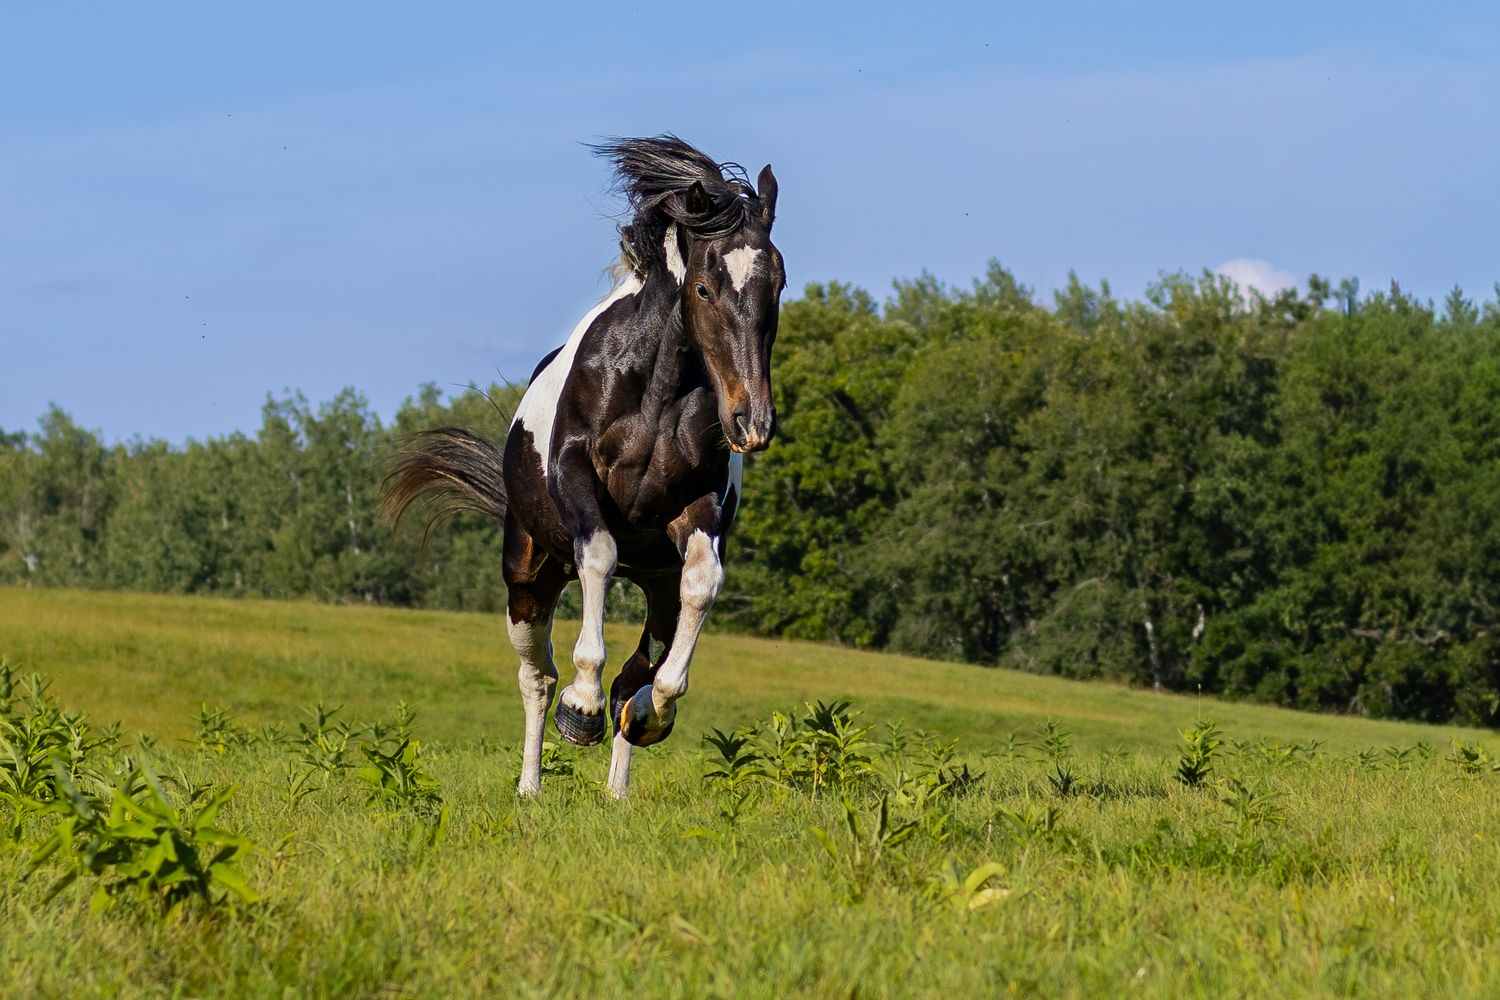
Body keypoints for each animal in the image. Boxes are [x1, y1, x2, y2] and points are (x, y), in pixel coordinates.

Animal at [382, 135, 783, 797]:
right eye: (703, 287)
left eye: (778, 282)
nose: (751, 423)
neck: (657, 389)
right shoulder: (575, 482)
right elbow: (597, 558)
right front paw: (582, 707)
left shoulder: (697, 510)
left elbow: (700, 589)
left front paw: (652, 713)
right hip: (528, 573)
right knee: (536, 676)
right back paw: (531, 785)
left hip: (656, 586)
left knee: (634, 671)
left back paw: (619, 785)